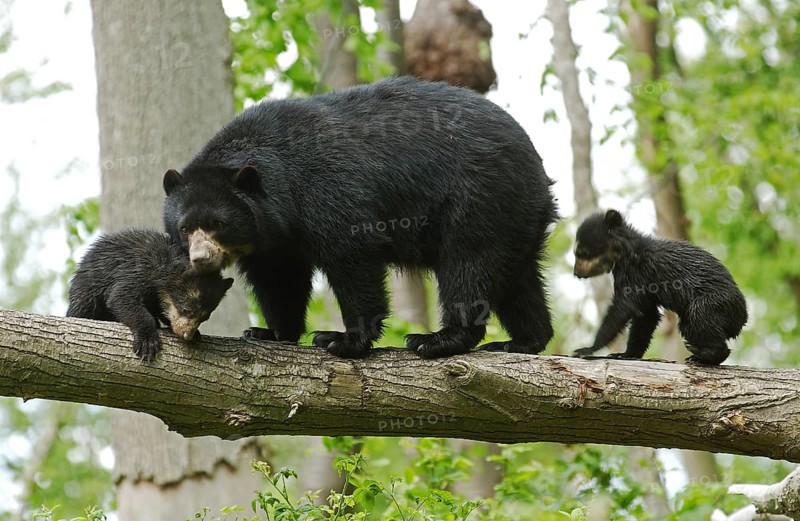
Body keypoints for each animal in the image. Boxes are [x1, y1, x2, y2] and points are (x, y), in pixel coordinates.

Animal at [67, 229, 234, 361]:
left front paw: (196, 333)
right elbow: (122, 297)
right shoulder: (138, 269)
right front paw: (148, 342)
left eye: (205, 317)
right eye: (185, 309)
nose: (186, 335)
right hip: (86, 290)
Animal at [162, 76, 558, 359]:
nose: (200, 259)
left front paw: (342, 339)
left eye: (217, 224)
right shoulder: (272, 238)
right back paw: (524, 341)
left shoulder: (327, 191)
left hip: (479, 197)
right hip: (516, 214)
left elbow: (352, 258)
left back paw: (437, 340)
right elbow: (279, 279)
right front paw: (269, 332)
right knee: (517, 276)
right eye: (185, 228)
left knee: (467, 264)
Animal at [572, 209, 748, 365]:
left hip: (715, 303)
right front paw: (625, 354)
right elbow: (646, 316)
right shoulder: (644, 288)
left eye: (582, 252)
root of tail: (743, 318)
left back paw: (700, 352)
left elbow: (623, 307)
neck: (625, 253)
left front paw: (586, 349)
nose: (576, 273)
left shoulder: (636, 274)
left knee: (700, 315)